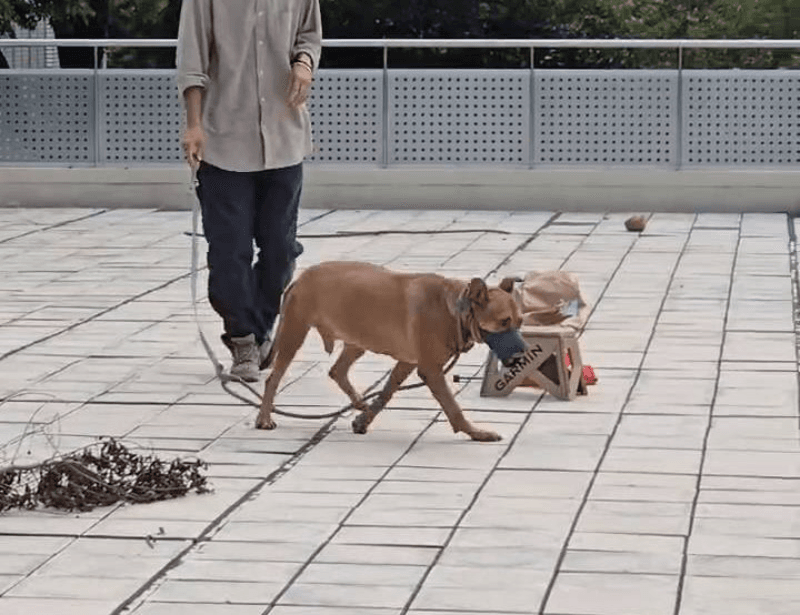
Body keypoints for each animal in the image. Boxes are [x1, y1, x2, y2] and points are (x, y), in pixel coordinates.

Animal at [253, 262, 520, 440]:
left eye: (519, 323)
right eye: (504, 322)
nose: (520, 356)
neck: (456, 308)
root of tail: (299, 278)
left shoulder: (407, 363)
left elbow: (386, 393)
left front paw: (365, 418)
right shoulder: (430, 370)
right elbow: (453, 408)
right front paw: (474, 432)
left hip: (357, 341)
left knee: (337, 371)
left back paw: (359, 402)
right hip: (294, 335)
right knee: (272, 379)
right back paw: (264, 418)